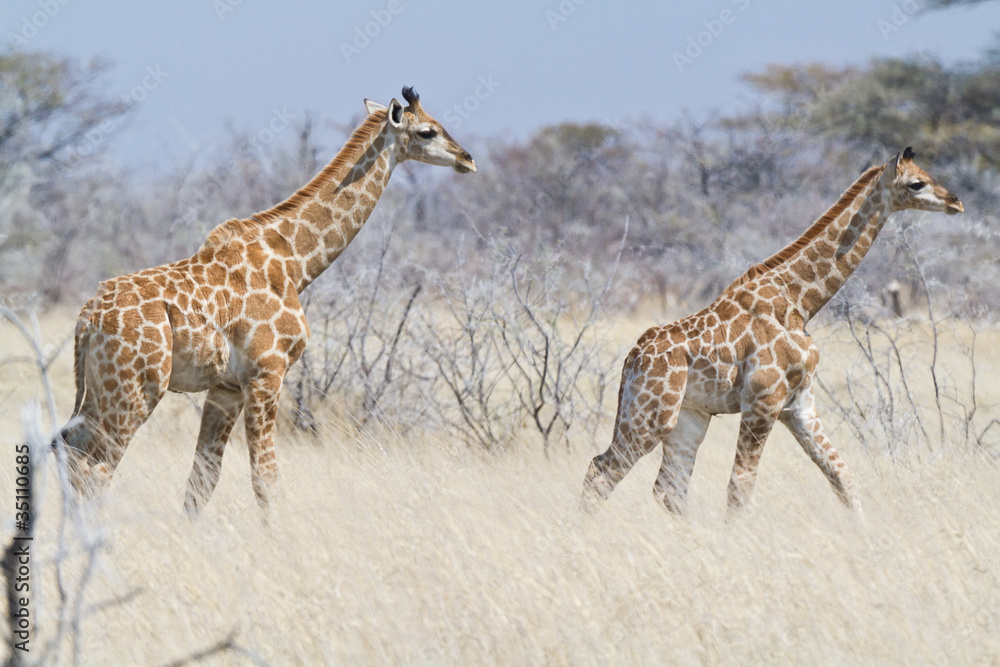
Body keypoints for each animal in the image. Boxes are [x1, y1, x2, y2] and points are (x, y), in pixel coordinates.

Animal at [57, 87, 476, 515]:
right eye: (427, 131)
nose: (467, 159)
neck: (294, 262)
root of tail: (86, 320)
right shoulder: (267, 373)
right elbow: (266, 478)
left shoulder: (226, 387)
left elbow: (202, 482)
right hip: (139, 386)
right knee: (97, 470)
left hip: (102, 387)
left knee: (70, 453)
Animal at [582, 147, 963, 515]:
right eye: (917, 183)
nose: (955, 202)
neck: (800, 302)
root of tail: (632, 358)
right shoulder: (763, 401)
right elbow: (740, 486)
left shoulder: (800, 404)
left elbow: (842, 476)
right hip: (653, 414)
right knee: (601, 471)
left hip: (688, 417)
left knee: (667, 490)